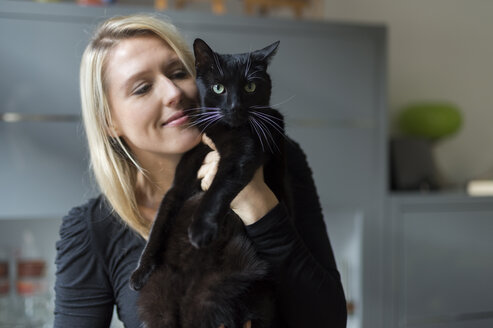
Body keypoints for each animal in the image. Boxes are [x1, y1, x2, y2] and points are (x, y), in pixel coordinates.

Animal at [129, 39, 286, 328]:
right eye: (218, 87)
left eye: (250, 87)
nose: (235, 107)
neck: (218, 130)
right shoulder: (180, 182)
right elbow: (161, 219)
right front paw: (141, 270)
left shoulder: (242, 154)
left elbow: (217, 189)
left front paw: (200, 230)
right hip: (160, 297)